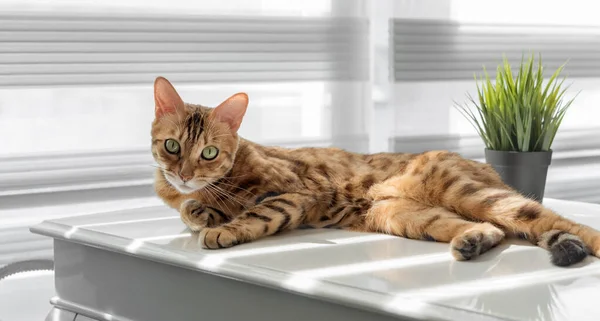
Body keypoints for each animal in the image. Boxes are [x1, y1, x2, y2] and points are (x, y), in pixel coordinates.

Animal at [150, 76, 600, 266]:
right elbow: (192, 210)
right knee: (495, 230)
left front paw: (221, 228)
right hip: (403, 216)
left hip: (469, 192)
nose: (184, 174)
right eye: (172, 146)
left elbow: (258, 212)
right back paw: (472, 242)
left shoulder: (298, 191)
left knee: (558, 222)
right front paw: (200, 212)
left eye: (208, 152)